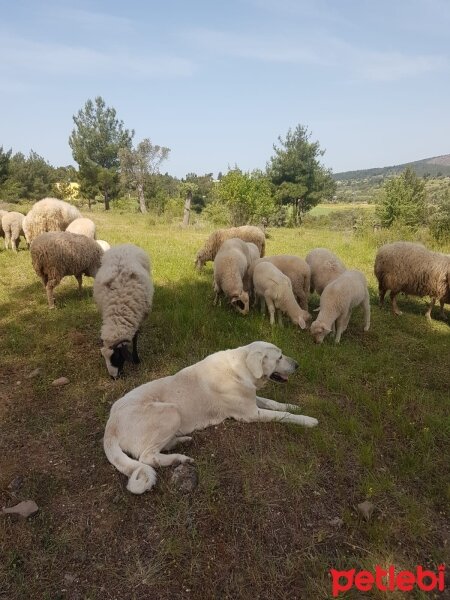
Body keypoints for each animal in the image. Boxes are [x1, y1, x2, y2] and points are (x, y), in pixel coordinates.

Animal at [92, 243, 153, 376]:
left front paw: (136, 359)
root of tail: (125, 245)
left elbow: (135, 338)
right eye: (104, 357)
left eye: (117, 357)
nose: (113, 377)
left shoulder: (138, 317)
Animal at [103, 340, 318, 494]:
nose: (298, 365)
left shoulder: (253, 400)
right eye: (279, 357)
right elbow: (283, 415)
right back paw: (179, 458)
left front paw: (294, 405)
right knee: (147, 456)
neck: (242, 368)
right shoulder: (251, 413)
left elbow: (275, 404)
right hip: (171, 412)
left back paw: (181, 441)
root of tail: (110, 426)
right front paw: (308, 420)